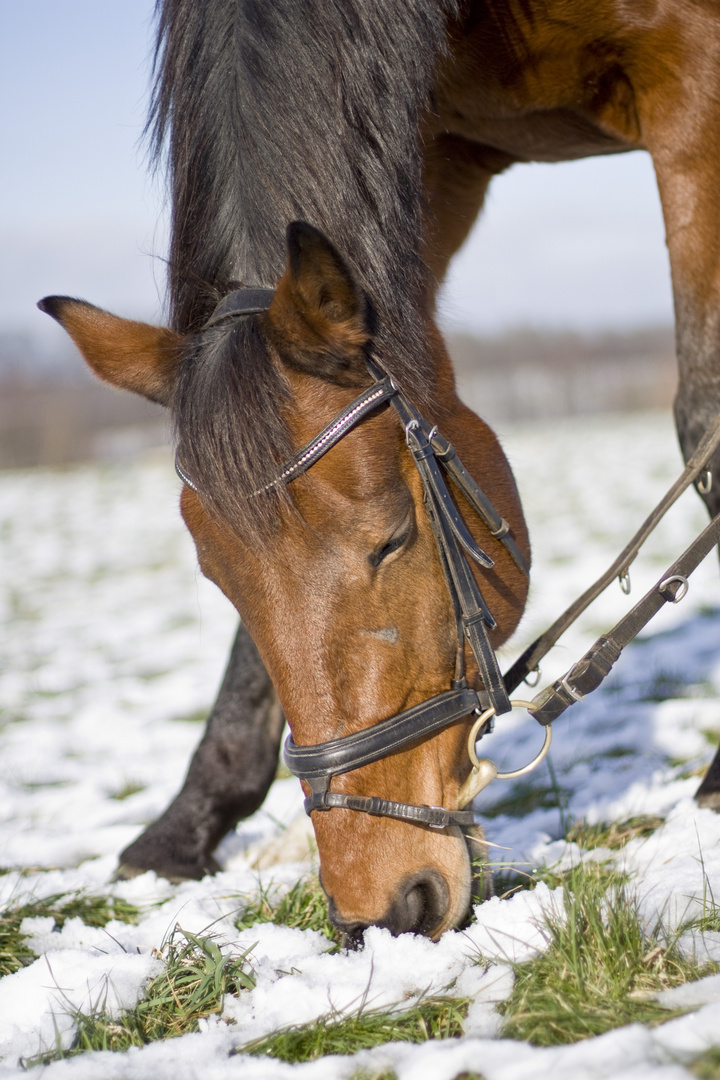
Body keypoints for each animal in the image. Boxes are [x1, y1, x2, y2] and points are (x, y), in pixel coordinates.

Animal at [39, 0, 720, 941]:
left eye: (393, 538)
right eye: (218, 579)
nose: (387, 908)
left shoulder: (693, 77)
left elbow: (705, 408)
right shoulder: (428, 152)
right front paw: (188, 825)